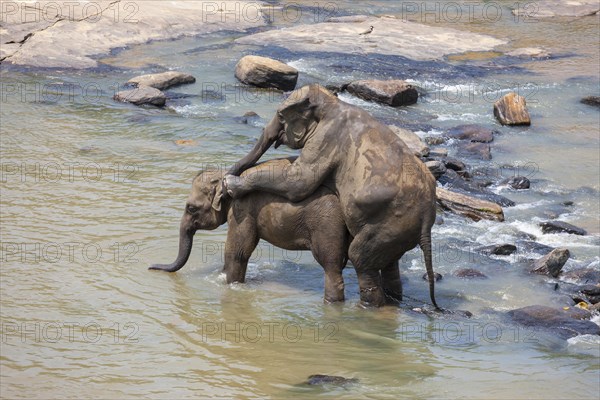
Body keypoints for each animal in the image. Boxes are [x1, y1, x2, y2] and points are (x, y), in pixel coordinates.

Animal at [147, 157, 350, 304]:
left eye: (191, 208)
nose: (150, 266)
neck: (225, 175)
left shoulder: (242, 209)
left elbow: (237, 252)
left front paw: (231, 285)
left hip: (327, 224)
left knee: (330, 265)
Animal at [223, 83, 438, 310]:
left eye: (281, 116)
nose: (223, 180)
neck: (332, 103)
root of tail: (428, 216)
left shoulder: (326, 139)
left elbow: (299, 181)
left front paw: (230, 184)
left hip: (390, 224)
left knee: (359, 257)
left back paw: (366, 306)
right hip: (399, 232)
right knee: (390, 265)